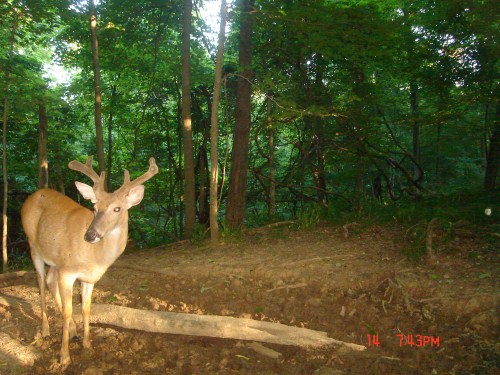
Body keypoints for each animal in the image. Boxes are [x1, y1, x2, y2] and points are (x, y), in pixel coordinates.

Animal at [21, 156, 158, 368]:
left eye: (117, 208)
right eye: (94, 207)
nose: (90, 235)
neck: (96, 257)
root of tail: (32, 195)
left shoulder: (89, 277)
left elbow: (86, 308)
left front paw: (87, 343)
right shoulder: (67, 271)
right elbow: (69, 310)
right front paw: (64, 357)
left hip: (55, 259)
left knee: (50, 280)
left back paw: (73, 330)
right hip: (33, 246)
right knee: (41, 282)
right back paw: (45, 329)